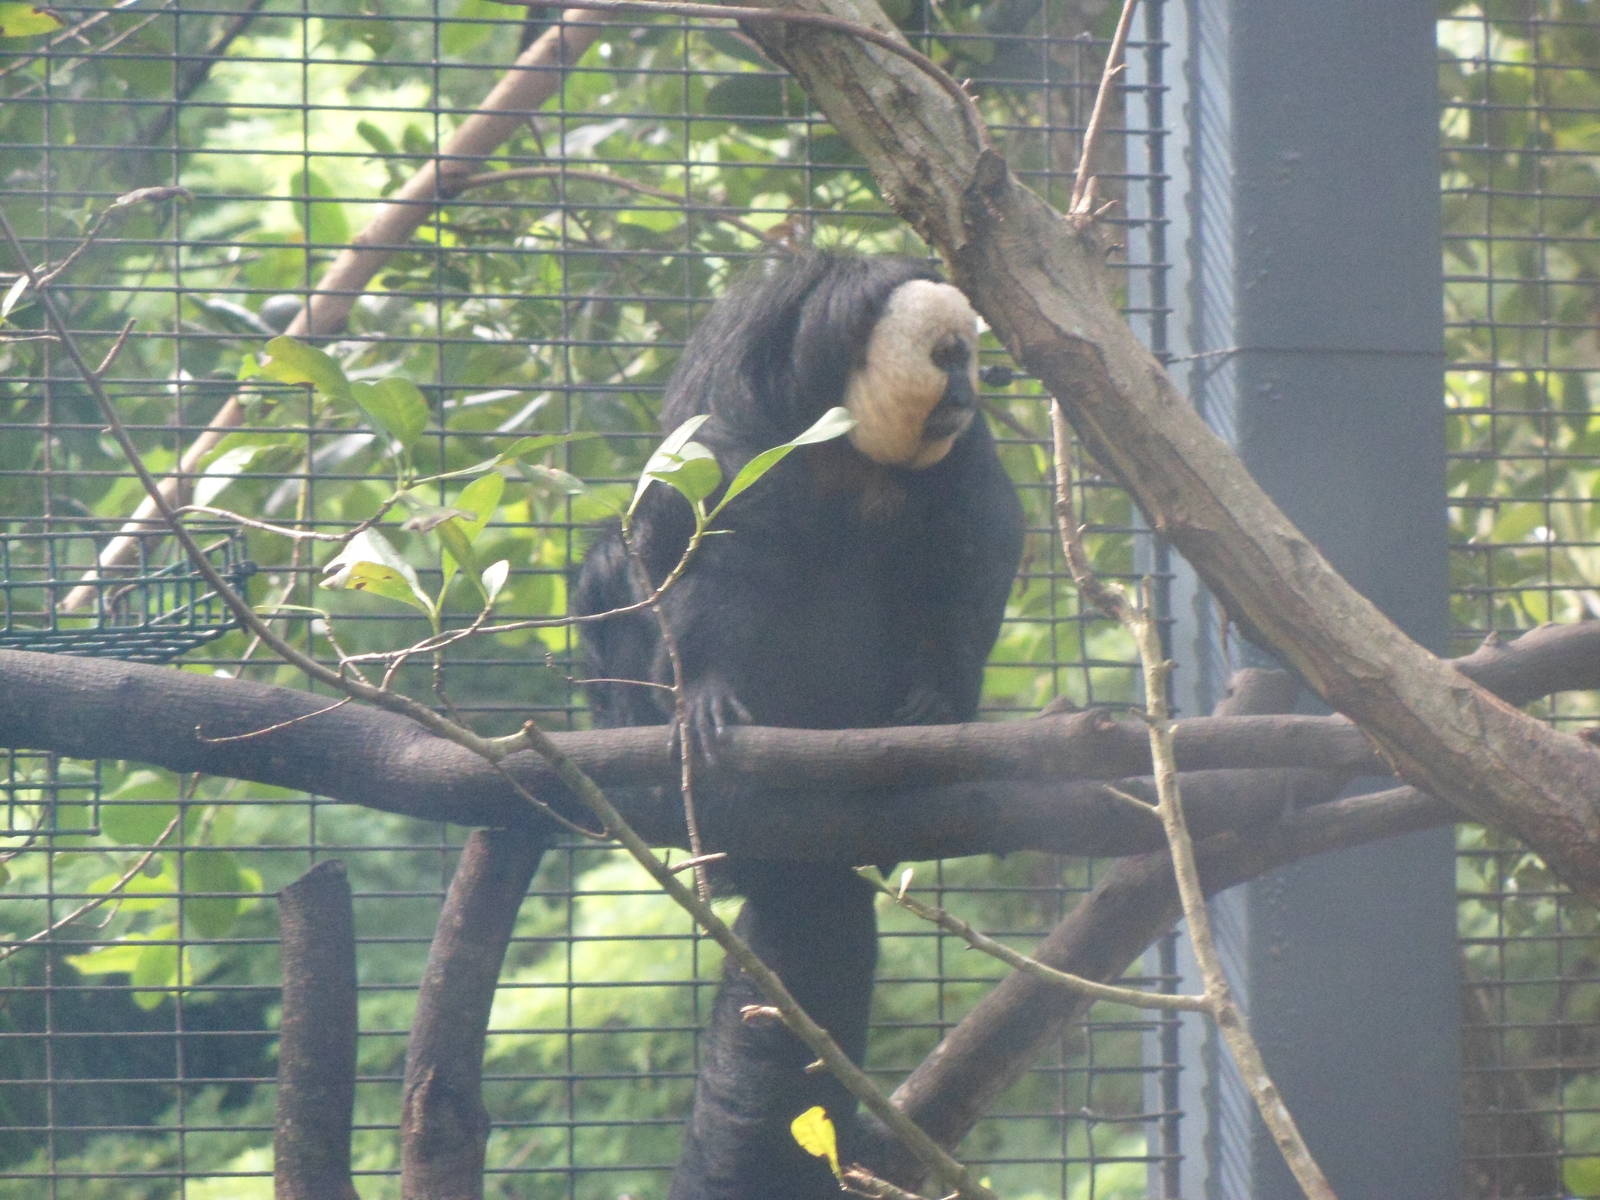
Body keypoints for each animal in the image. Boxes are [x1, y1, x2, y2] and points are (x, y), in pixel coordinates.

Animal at [574, 252, 1023, 1199]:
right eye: (948, 357)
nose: (977, 386)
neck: (846, 441)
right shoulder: (735, 439)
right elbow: (712, 551)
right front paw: (706, 697)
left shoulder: (964, 463)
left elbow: (970, 557)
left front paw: (938, 704)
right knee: (606, 571)